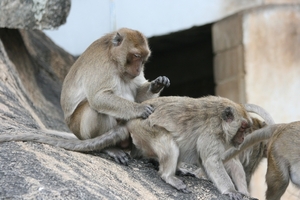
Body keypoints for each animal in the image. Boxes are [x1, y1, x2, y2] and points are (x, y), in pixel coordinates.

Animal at [0, 28, 170, 166]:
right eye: (136, 55)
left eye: (143, 59)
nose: (138, 69)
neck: (114, 59)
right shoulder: (103, 65)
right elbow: (98, 98)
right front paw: (140, 109)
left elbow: (138, 93)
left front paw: (157, 84)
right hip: (79, 129)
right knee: (93, 109)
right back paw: (109, 147)